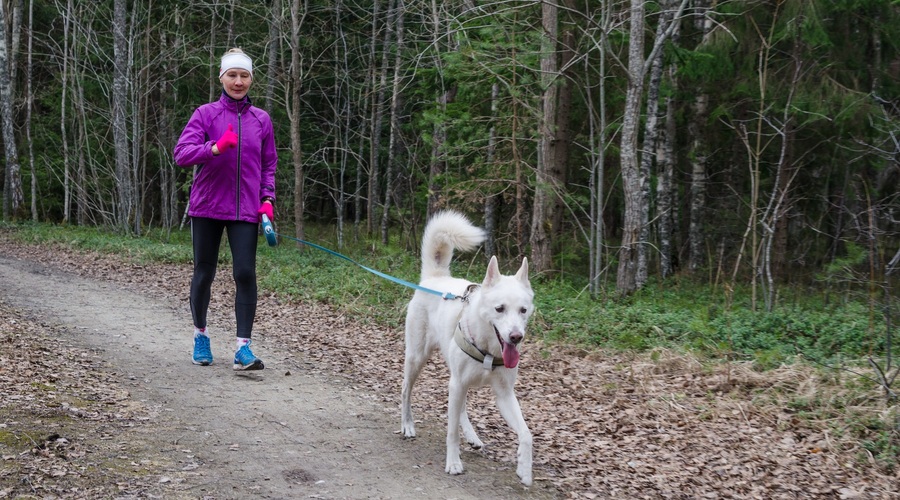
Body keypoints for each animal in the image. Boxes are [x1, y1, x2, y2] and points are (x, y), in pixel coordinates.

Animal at [398, 210, 532, 484]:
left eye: (523, 310)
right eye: (499, 309)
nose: (516, 337)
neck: (488, 348)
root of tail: (435, 278)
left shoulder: (503, 394)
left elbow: (526, 434)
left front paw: (524, 469)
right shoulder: (457, 383)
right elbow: (451, 433)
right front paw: (453, 463)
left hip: (458, 381)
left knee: (461, 409)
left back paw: (472, 436)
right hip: (417, 359)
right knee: (406, 390)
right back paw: (407, 425)